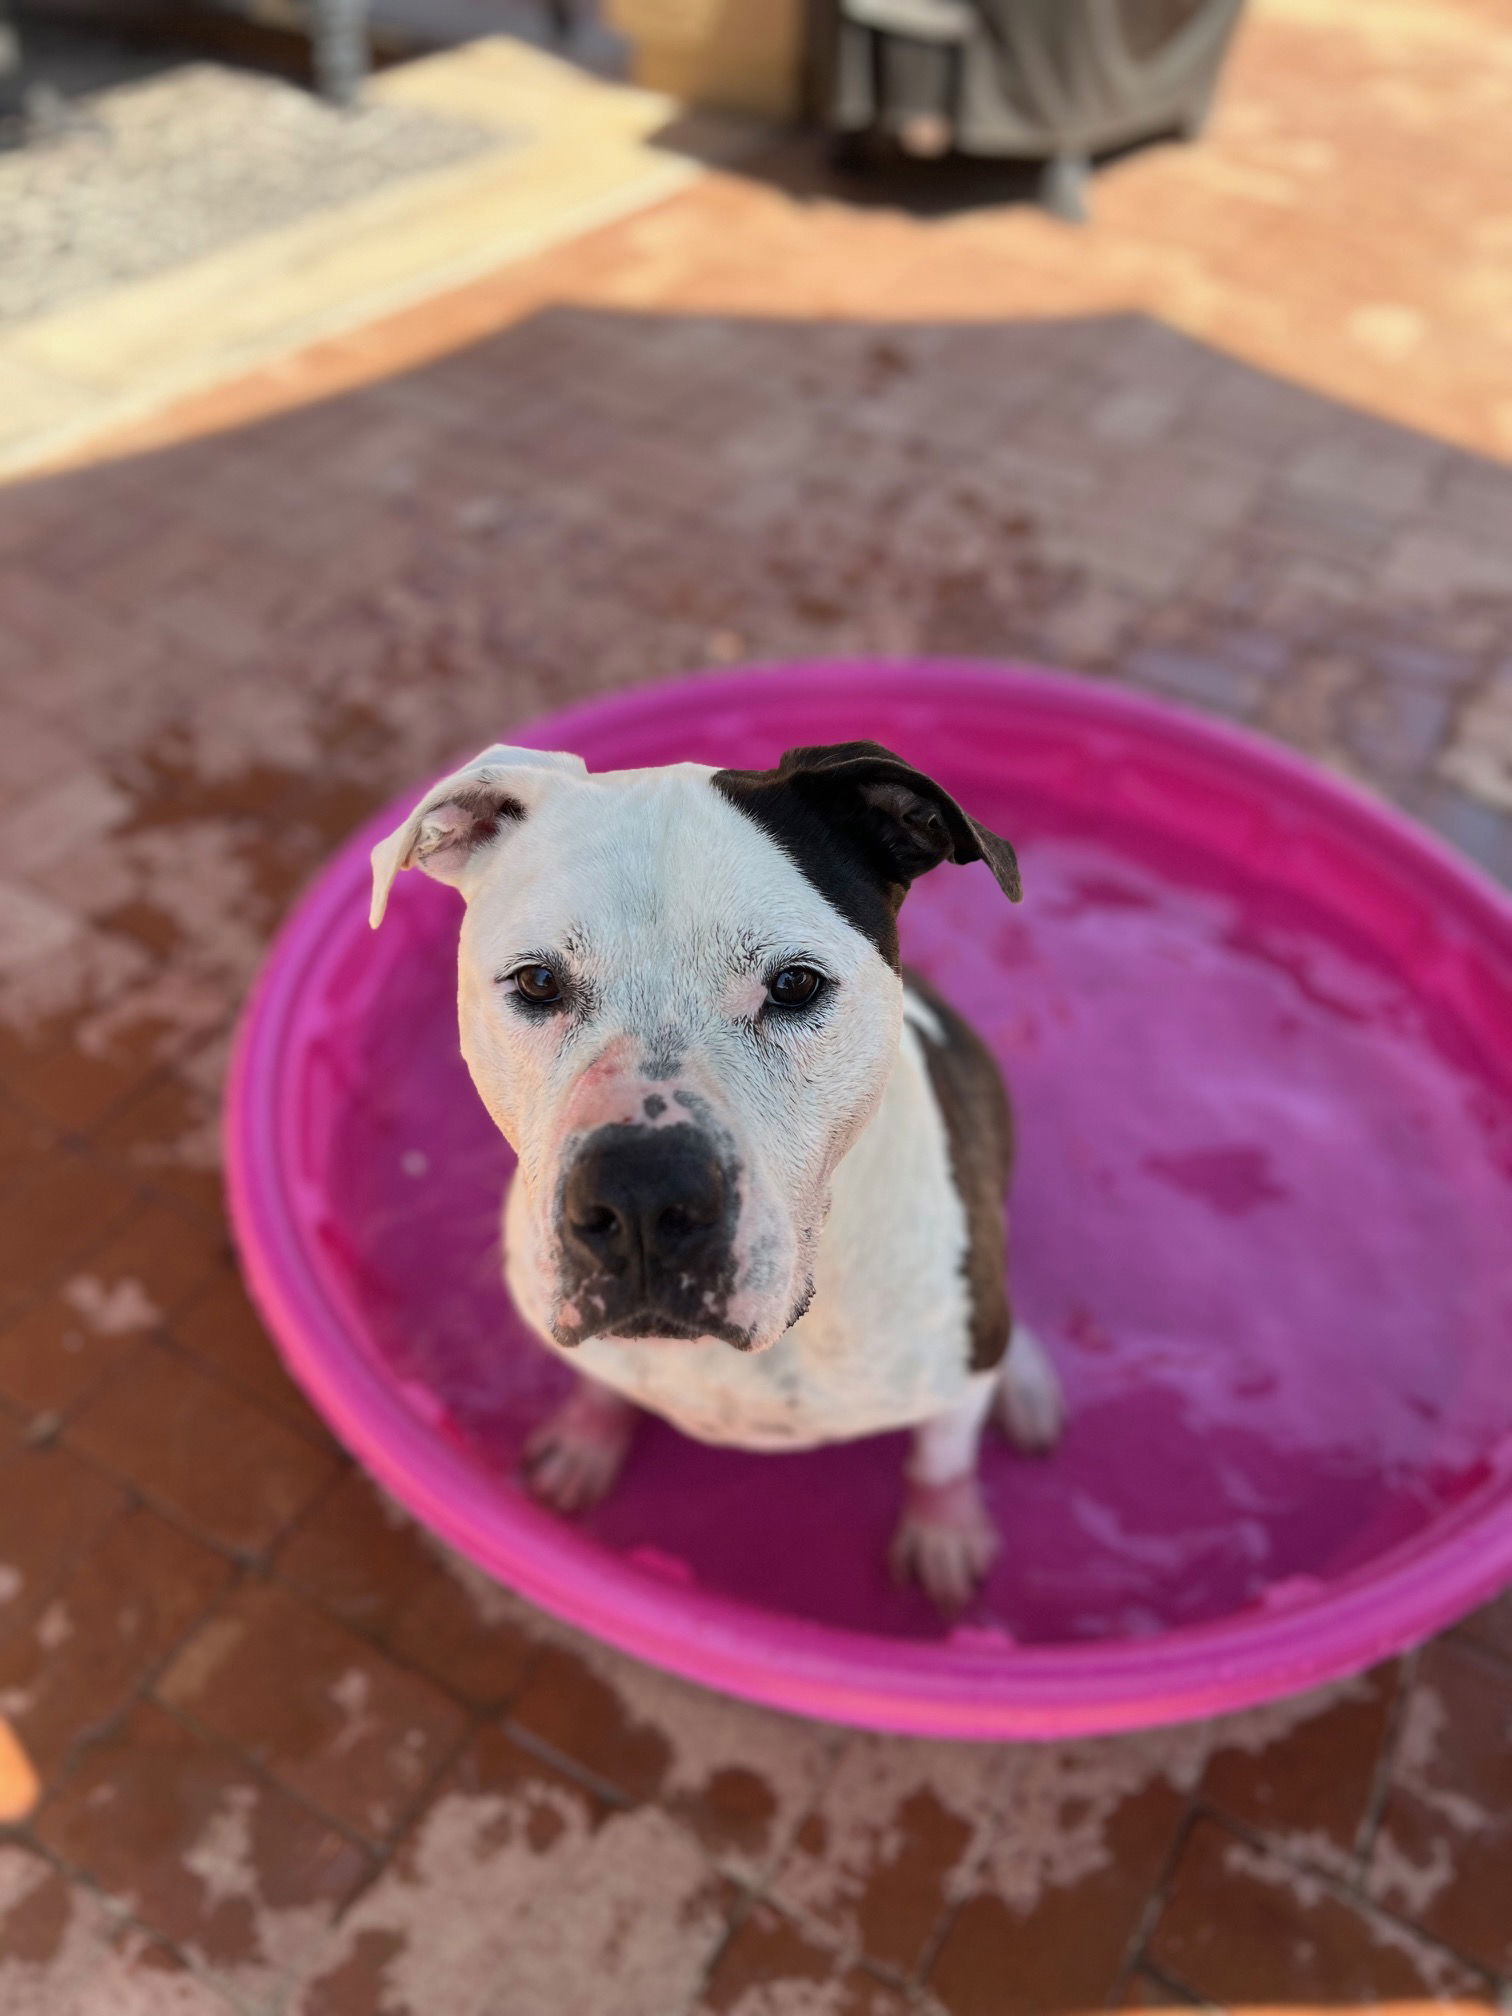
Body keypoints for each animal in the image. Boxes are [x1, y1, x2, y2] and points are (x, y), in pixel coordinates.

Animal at [370, 741, 1064, 1604]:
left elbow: (941, 1457)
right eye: (536, 982)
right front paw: (587, 1437)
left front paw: (944, 1530)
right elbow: (602, 1380)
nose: (639, 1200)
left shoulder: (952, 1377)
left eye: (795, 984)